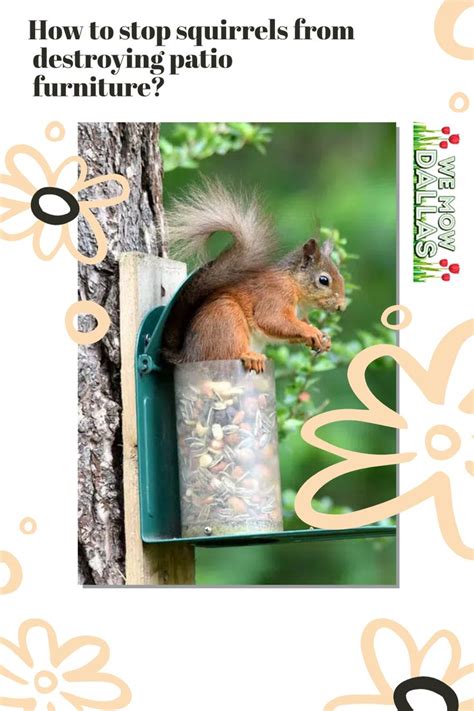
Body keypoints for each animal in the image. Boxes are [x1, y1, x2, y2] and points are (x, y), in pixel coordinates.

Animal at [162, 181, 346, 373]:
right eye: (324, 280)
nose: (341, 307)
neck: (295, 285)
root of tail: (188, 356)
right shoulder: (275, 294)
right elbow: (273, 320)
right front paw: (311, 331)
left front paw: (324, 338)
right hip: (226, 319)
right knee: (229, 352)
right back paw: (250, 356)